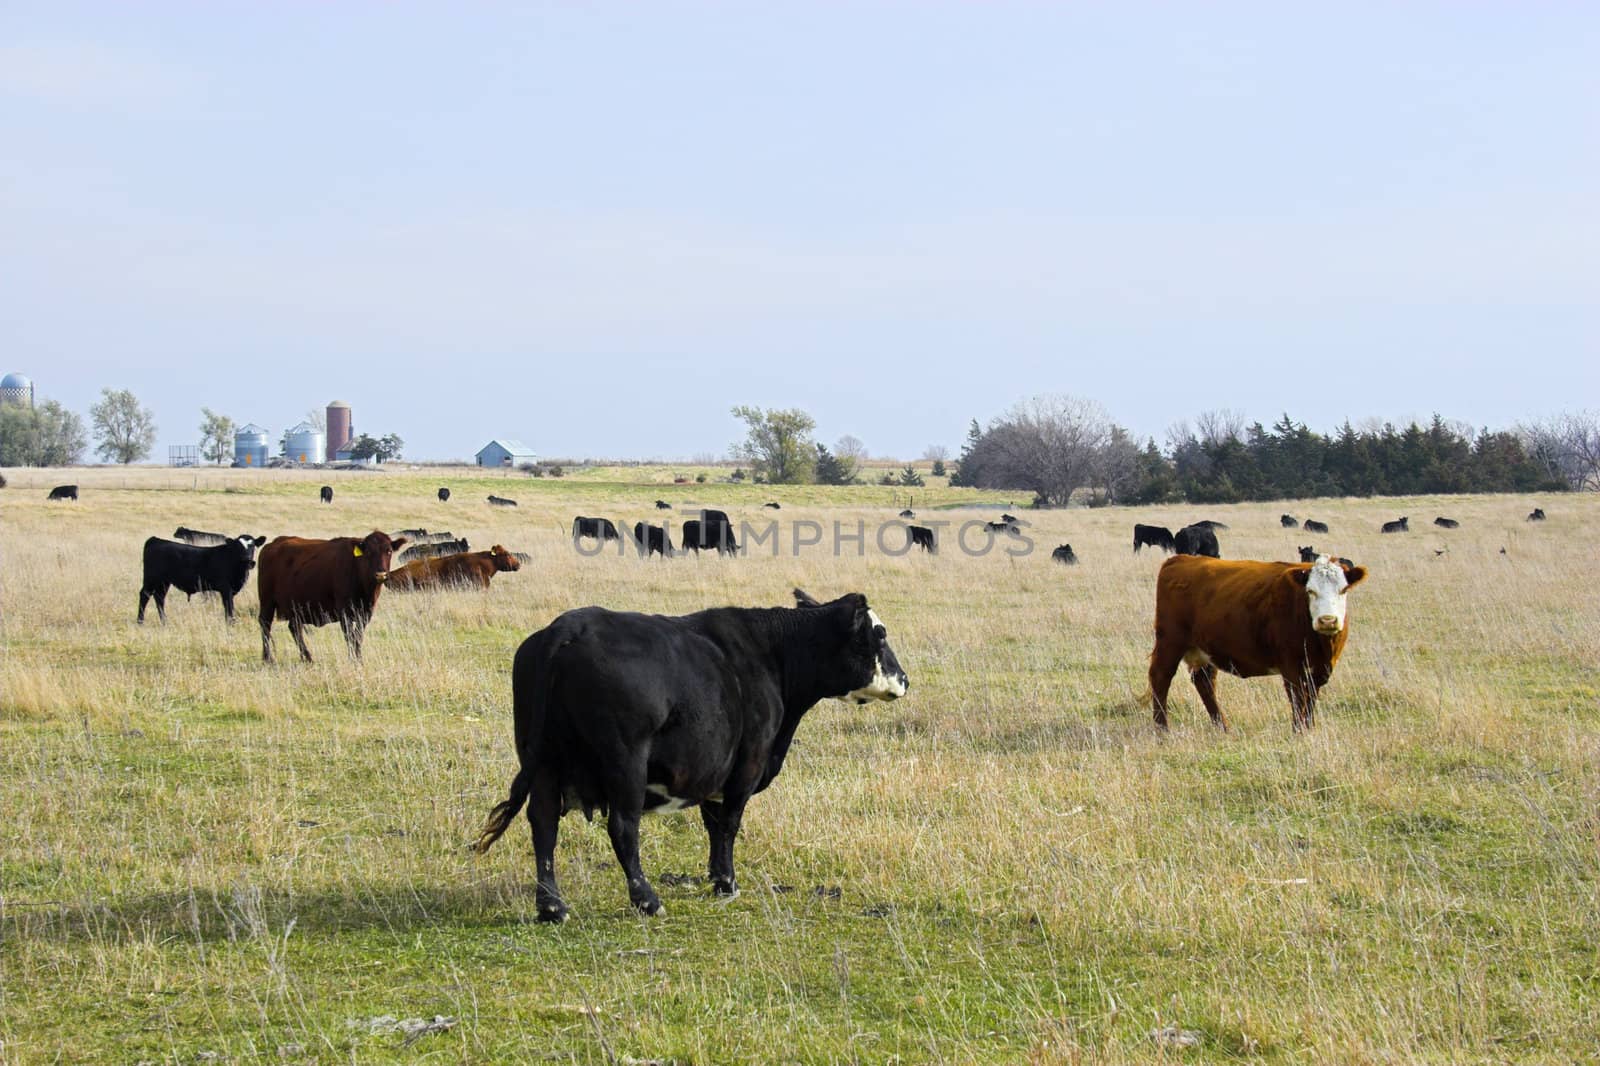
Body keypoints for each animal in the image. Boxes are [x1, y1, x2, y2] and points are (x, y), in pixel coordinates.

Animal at [256, 528, 406, 659]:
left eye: (389, 551)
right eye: (368, 552)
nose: (381, 574)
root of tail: (272, 545)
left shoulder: (365, 613)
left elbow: (358, 636)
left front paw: (358, 658)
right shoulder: (344, 612)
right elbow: (349, 636)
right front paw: (352, 659)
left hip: (294, 607)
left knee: (294, 629)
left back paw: (307, 658)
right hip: (267, 601)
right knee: (265, 624)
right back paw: (268, 658)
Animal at [467, 585, 908, 915]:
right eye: (879, 634)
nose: (904, 679)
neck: (770, 655)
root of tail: (569, 625)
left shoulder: (715, 772)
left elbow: (713, 825)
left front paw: (716, 879)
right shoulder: (745, 766)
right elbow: (728, 825)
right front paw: (727, 882)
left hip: (542, 760)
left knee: (543, 824)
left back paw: (552, 907)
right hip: (624, 763)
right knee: (623, 827)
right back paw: (647, 900)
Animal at [1145, 547, 1369, 729]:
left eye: (1343, 590)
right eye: (1310, 591)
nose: (1327, 620)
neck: (1322, 645)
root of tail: (1180, 559)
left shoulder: (1318, 671)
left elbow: (1310, 703)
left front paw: (1309, 729)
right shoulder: (1292, 667)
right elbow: (1298, 702)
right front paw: (1299, 733)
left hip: (1204, 650)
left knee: (1204, 682)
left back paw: (1223, 727)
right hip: (1170, 642)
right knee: (1161, 678)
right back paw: (1162, 730)